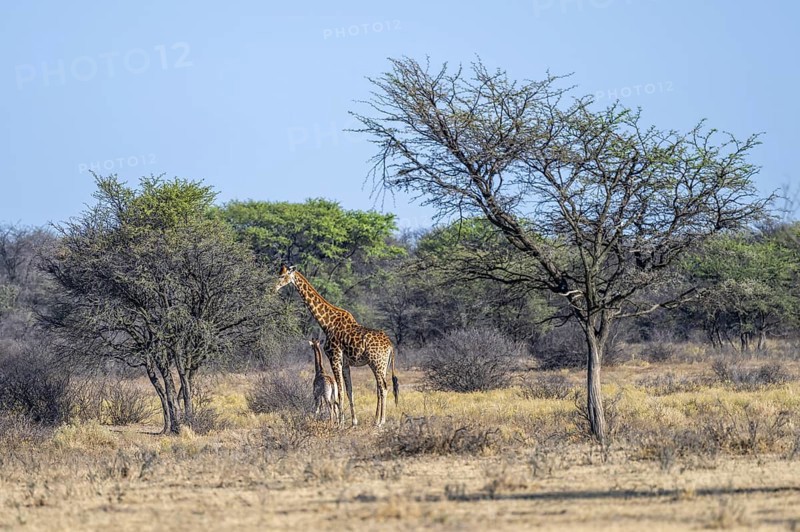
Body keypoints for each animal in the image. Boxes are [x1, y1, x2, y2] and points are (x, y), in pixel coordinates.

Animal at [275, 264, 399, 426]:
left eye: (283, 276)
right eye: (279, 274)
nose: (274, 287)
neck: (327, 324)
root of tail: (390, 345)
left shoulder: (334, 358)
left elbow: (339, 392)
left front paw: (340, 422)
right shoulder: (345, 364)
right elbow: (349, 391)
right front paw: (353, 421)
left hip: (377, 363)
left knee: (383, 387)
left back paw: (381, 422)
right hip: (382, 365)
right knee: (379, 387)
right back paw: (376, 419)